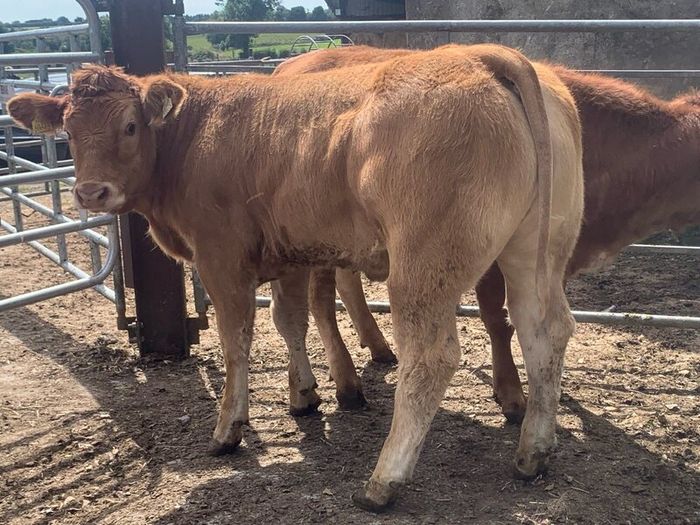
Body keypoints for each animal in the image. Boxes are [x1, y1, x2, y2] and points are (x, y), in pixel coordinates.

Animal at [8, 44, 584, 511]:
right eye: (68, 131)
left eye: (130, 126)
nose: (91, 192)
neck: (193, 136)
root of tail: (483, 57)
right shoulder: (291, 255)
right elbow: (290, 321)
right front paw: (304, 395)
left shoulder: (220, 259)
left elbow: (236, 340)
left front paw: (229, 428)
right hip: (534, 253)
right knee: (545, 332)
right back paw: (534, 452)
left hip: (423, 266)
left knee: (431, 357)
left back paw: (383, 482)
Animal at [274, 45, 700, 424]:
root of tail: (292, 64)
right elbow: (499, 321)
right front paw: (511, 394)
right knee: (320, 302)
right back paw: (345, 384)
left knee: (346, 288)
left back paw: (377, 348)